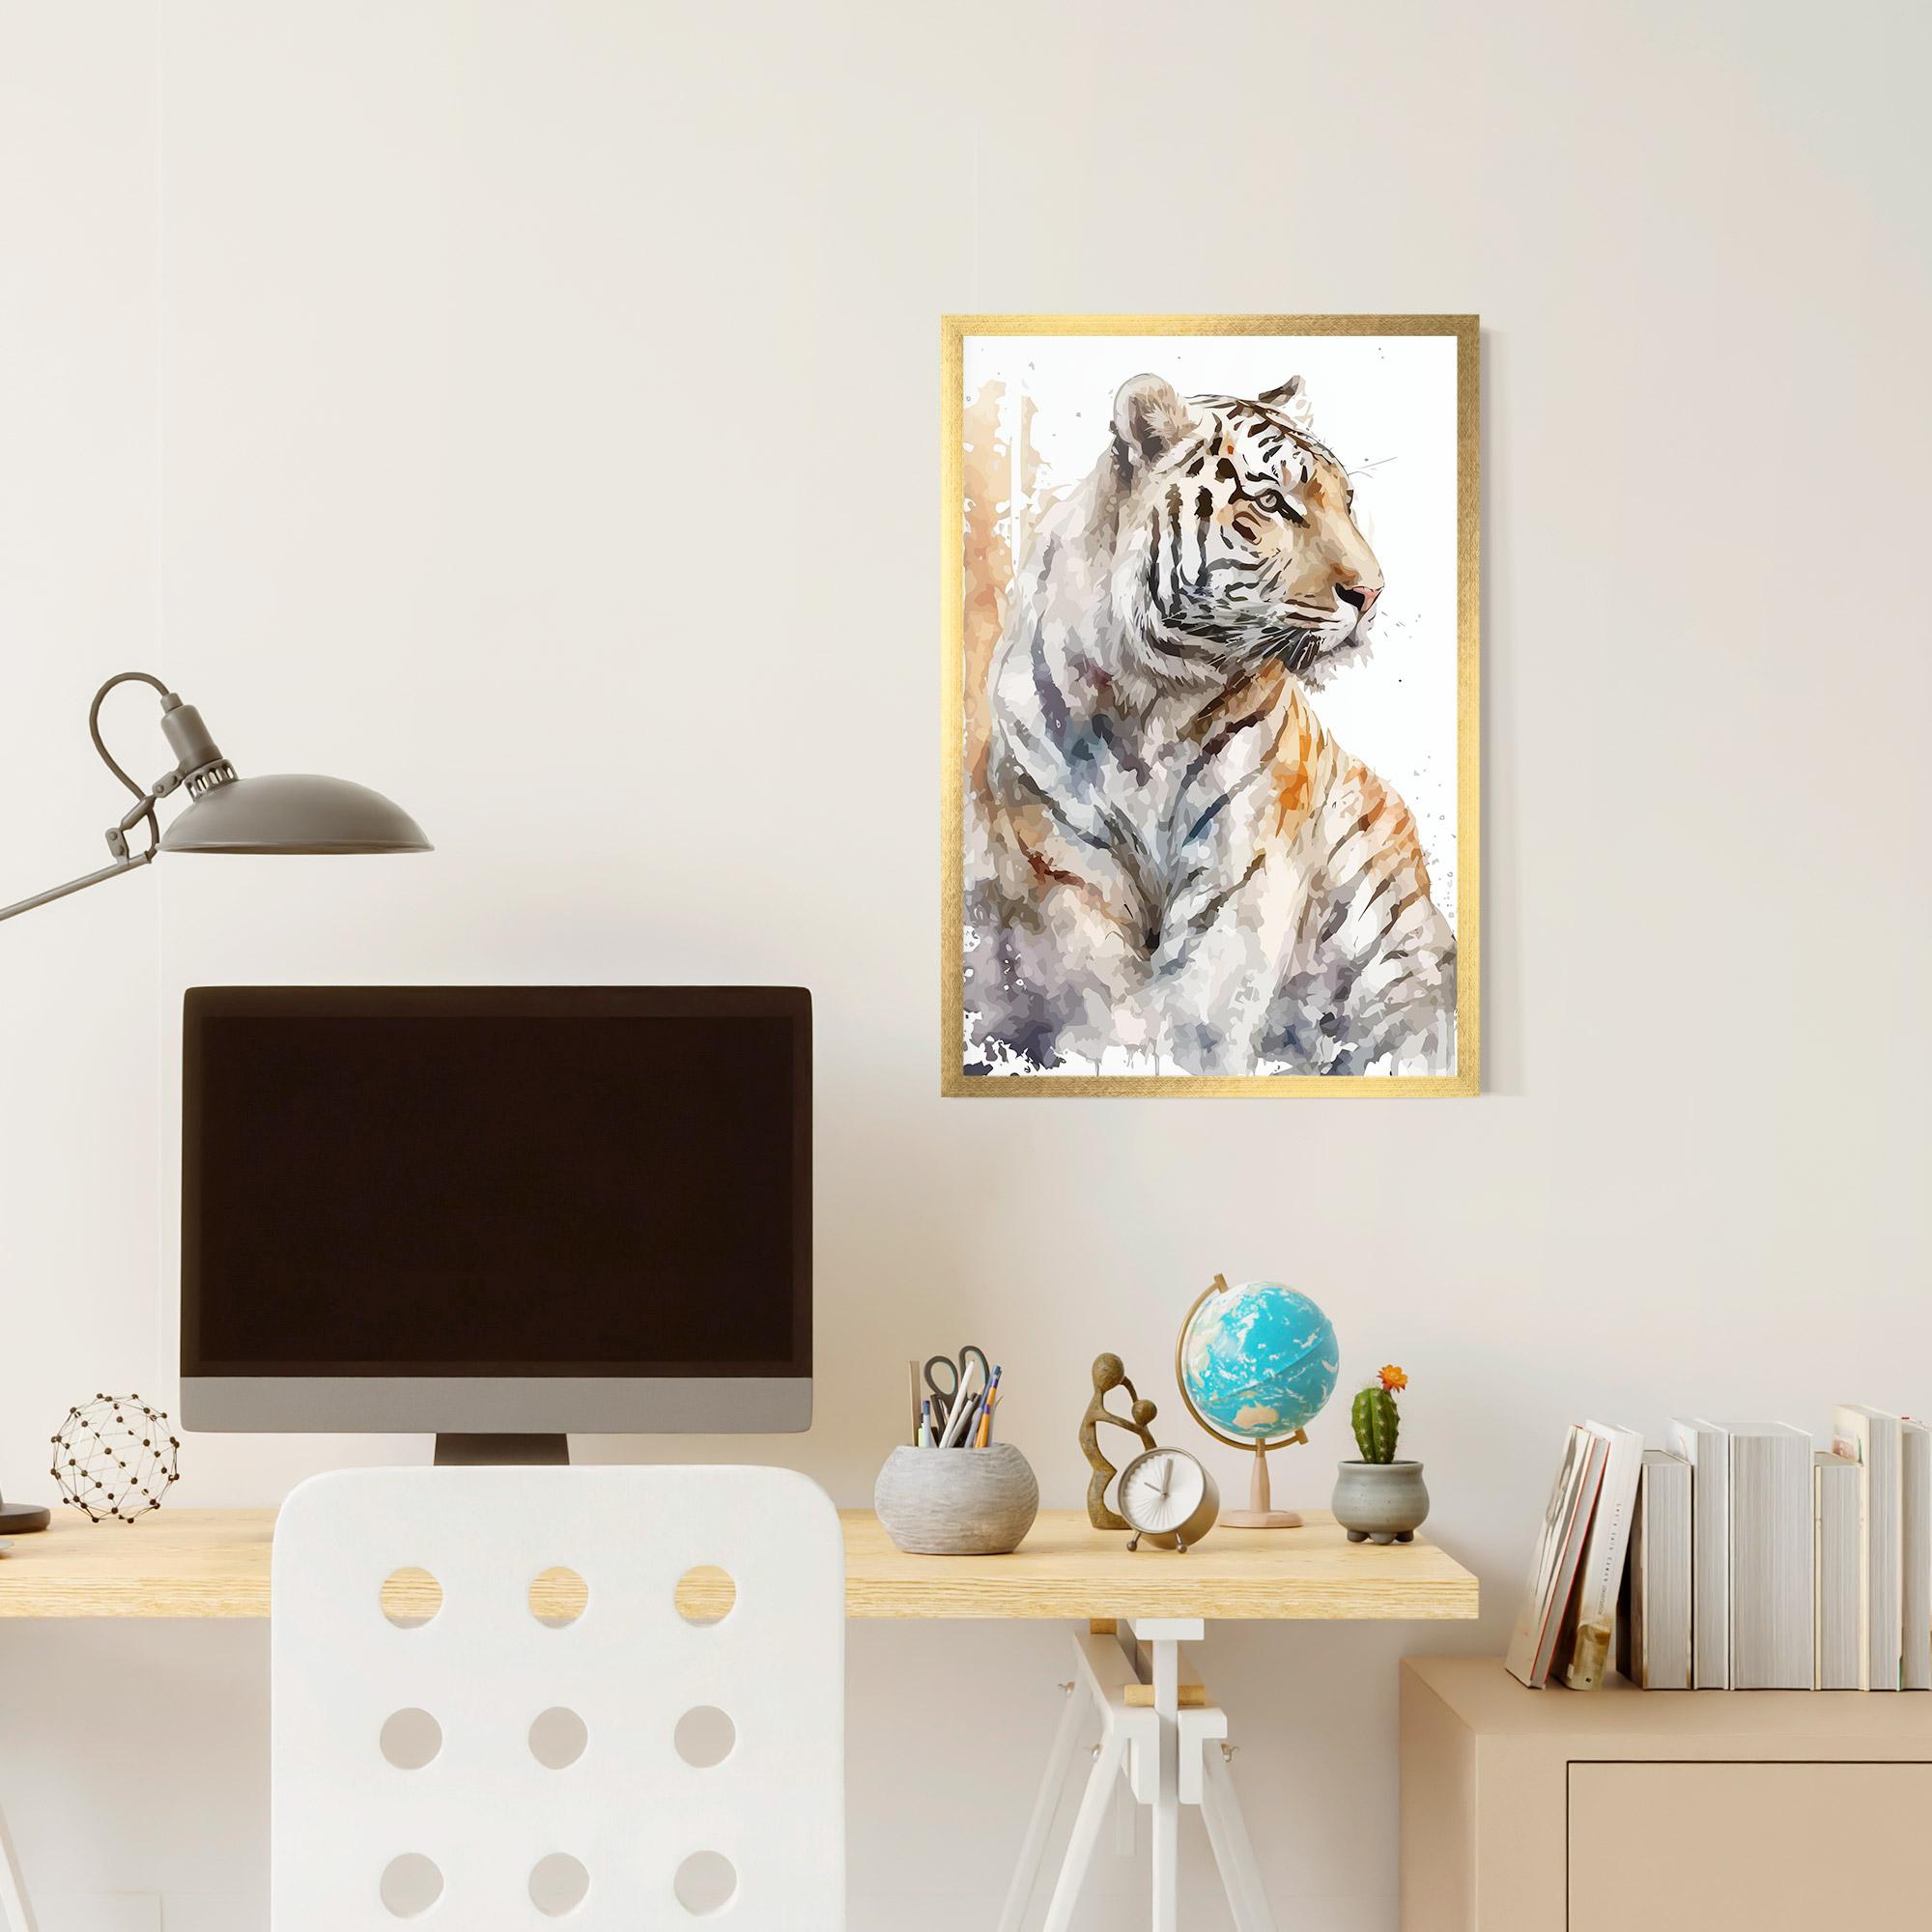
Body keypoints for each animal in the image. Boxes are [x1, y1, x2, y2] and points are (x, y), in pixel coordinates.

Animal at [963, 370, 1455, 1078]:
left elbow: (1202, 1017)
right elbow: (1095, 1003)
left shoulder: (1243, 863)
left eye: (1347, 500)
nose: (1372, 593)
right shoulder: (1064, 866)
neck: (1148, 699)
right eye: (1274, 503)